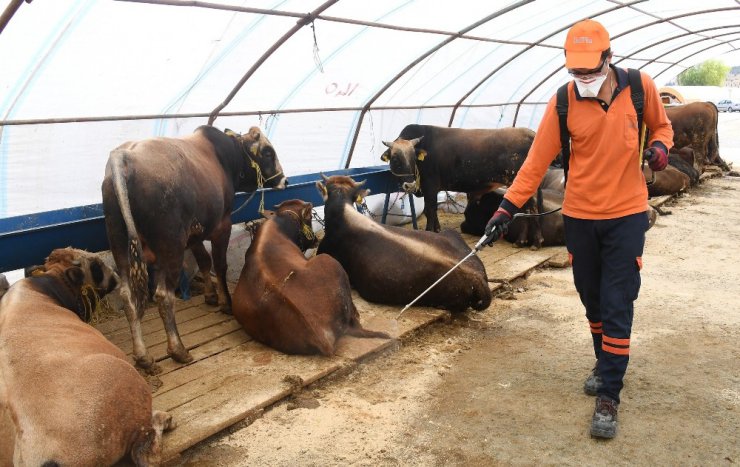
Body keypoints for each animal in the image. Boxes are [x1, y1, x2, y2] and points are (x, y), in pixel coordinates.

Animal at [102, 124, 288, 372]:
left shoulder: (195, 233)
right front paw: (225, 302)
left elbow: (204, 261)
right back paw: (178, 350)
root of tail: (123, 156)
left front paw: (210, 295)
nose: (284, 181)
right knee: (163, 296)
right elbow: (219, 264)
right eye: (268, 151)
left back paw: (143, 356)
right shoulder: (221, 225)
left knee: (127, 296)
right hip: (171, 247)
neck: (226, 157)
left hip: (120, 246)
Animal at [378, 125, 536, 233]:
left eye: (413, 158)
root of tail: (530, 133)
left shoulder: (430, 187)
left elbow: (430, 210)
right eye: (395, 159)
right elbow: (433, 210)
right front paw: (437, 228)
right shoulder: (433, 190)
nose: (410, 185)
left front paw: (430, 231)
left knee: (532, 208)